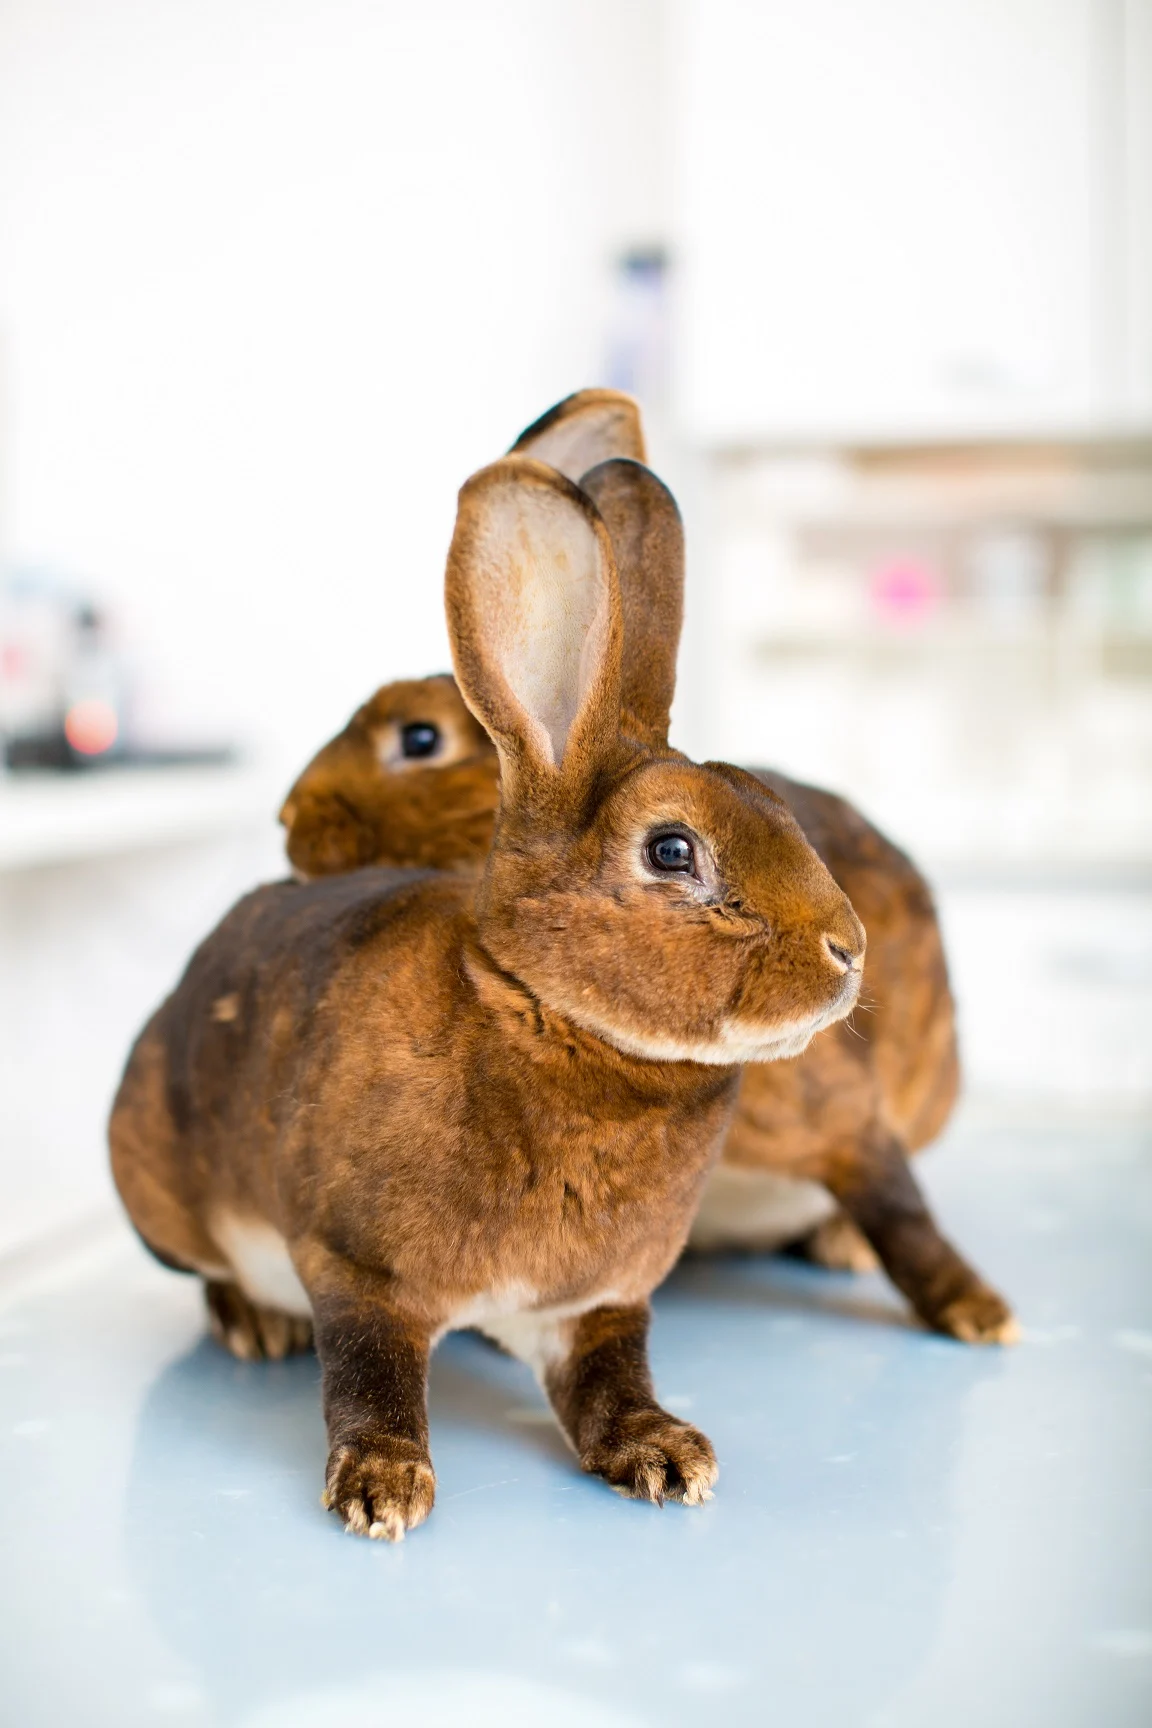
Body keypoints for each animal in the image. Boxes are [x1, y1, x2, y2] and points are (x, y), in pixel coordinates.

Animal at [110, 455, 868, 1540]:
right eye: (671, 849)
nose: (849, 950)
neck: (551, 1021)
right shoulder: (357, 1268)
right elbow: (371, 1375)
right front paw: (383, 1489)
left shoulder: (590, 1303)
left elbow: (612, 1378)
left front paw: (664, 1453)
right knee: (214, 1272)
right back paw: (255, 1322)